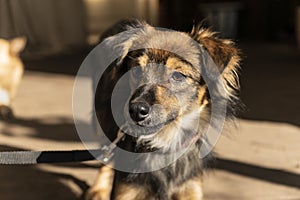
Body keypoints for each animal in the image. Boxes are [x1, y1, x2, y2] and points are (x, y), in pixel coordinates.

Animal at [85, 19, 240, 200]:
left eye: (178, 76)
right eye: (136, 70)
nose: (135, 110)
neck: (165, 140)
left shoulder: (190, 188)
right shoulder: (127, 191)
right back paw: (99, 189)